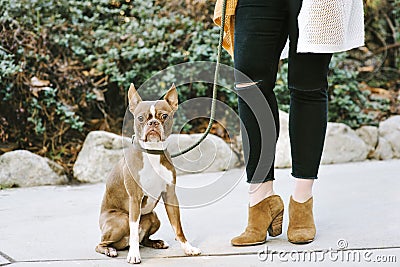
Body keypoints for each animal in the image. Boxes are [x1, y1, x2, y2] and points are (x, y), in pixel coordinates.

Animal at [95, 85, 202, 264]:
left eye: (164, 116)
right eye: (140, 118)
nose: (153, 122)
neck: (152, 152)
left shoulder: (170, 195)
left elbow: (178, 227)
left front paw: (188, 248)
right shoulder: (135, 198)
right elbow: (133, 230)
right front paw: (134, 255)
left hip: (154, 217)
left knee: (142, 239)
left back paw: (156, 242)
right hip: (121, 220)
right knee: (102, 243)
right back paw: (109, 250)